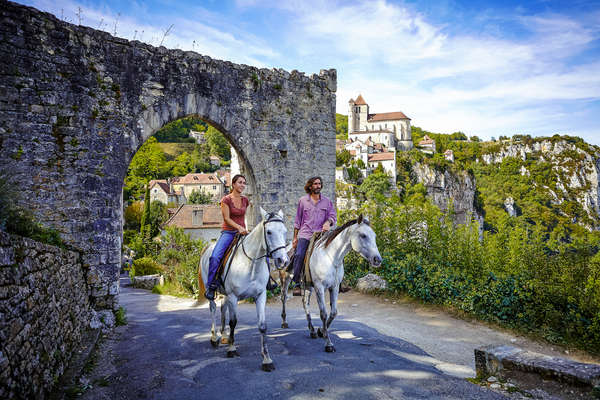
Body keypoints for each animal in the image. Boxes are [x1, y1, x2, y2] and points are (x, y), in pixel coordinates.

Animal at [199, 208, 288, 370]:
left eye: (284, 231)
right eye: (269, 232)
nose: (283, 261)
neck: (250, 264)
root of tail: (208, 247)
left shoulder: (260, 295)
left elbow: (262, 326)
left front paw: (267, 359)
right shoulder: (234, 296)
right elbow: (233, 322)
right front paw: (232, 349)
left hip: (225, 294)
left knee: (223, 307)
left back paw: (224, 336)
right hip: (213, 290)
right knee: (213, 308)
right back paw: (215, 337)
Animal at [278, 216, 382, 354]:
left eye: (374, 236)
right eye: (363, 235)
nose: (378, 260)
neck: (331, 258)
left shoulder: (335, 287)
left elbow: (333, 312)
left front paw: (321, 331)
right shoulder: (320, 287)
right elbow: (323, 313)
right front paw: (328, 344)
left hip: (307, 285)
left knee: (305, 303)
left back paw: (312, 330)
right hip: (286, 279)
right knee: (284, 298)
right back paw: (284, 322)